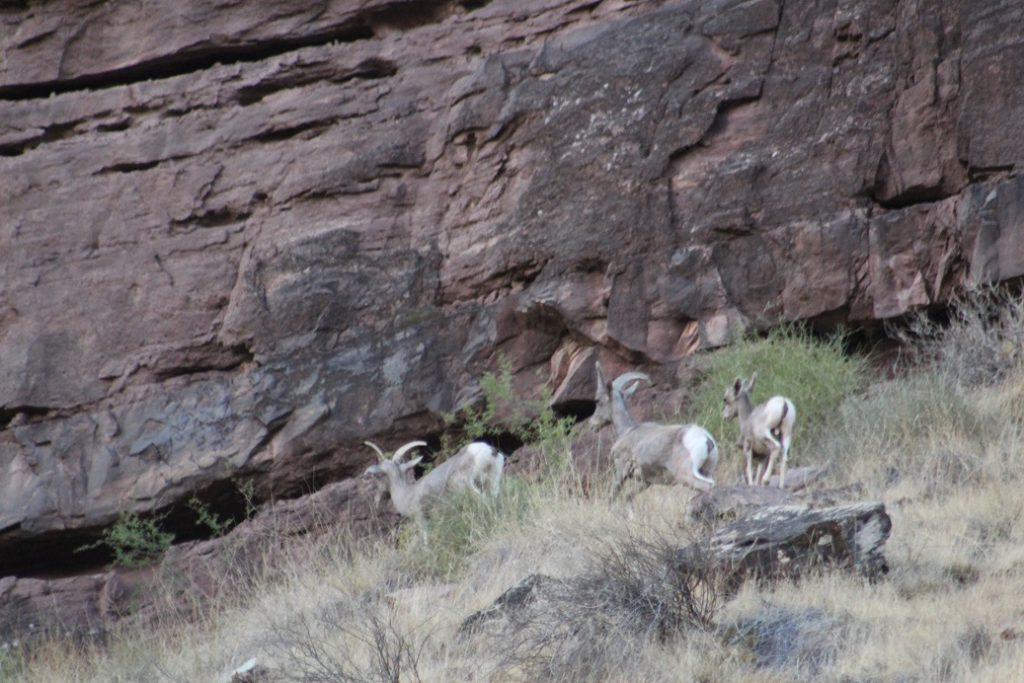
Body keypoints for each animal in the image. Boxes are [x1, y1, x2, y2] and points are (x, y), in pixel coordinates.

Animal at [364, 438, 503, 540]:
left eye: (378, 476)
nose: (377, 501)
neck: (406, 494)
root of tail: (486, 450)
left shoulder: (421, 519)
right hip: (493, 481)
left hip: (468, 487)